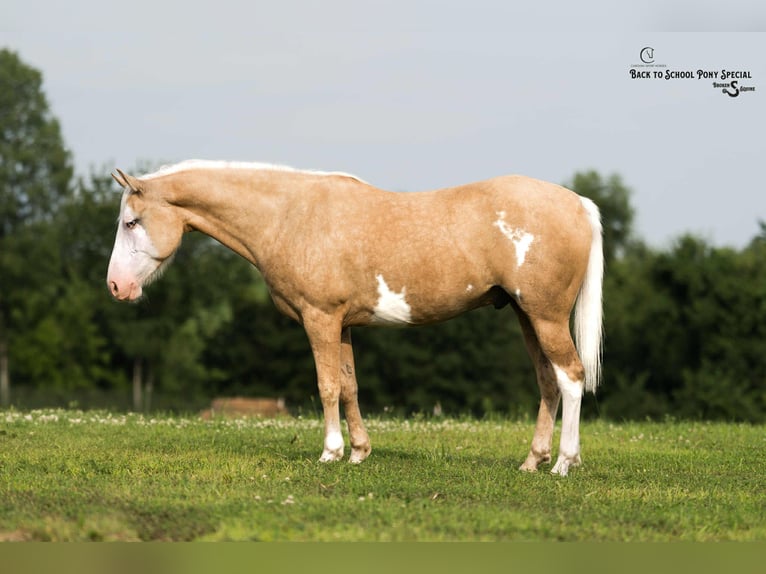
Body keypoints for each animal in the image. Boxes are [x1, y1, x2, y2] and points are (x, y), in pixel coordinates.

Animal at [107, 160, 603, 476]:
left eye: (131, 222)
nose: (115, 286)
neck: (289, 217)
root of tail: (578, 203)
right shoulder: (342, 324)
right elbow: (349, 386)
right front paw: (360, 452)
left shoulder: (320, 318)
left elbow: (327, 386)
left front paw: (331, 453)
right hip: (526, 316)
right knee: (548, 381)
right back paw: (533, 461)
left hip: (545, 316)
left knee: (571, 377)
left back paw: (564, 463)